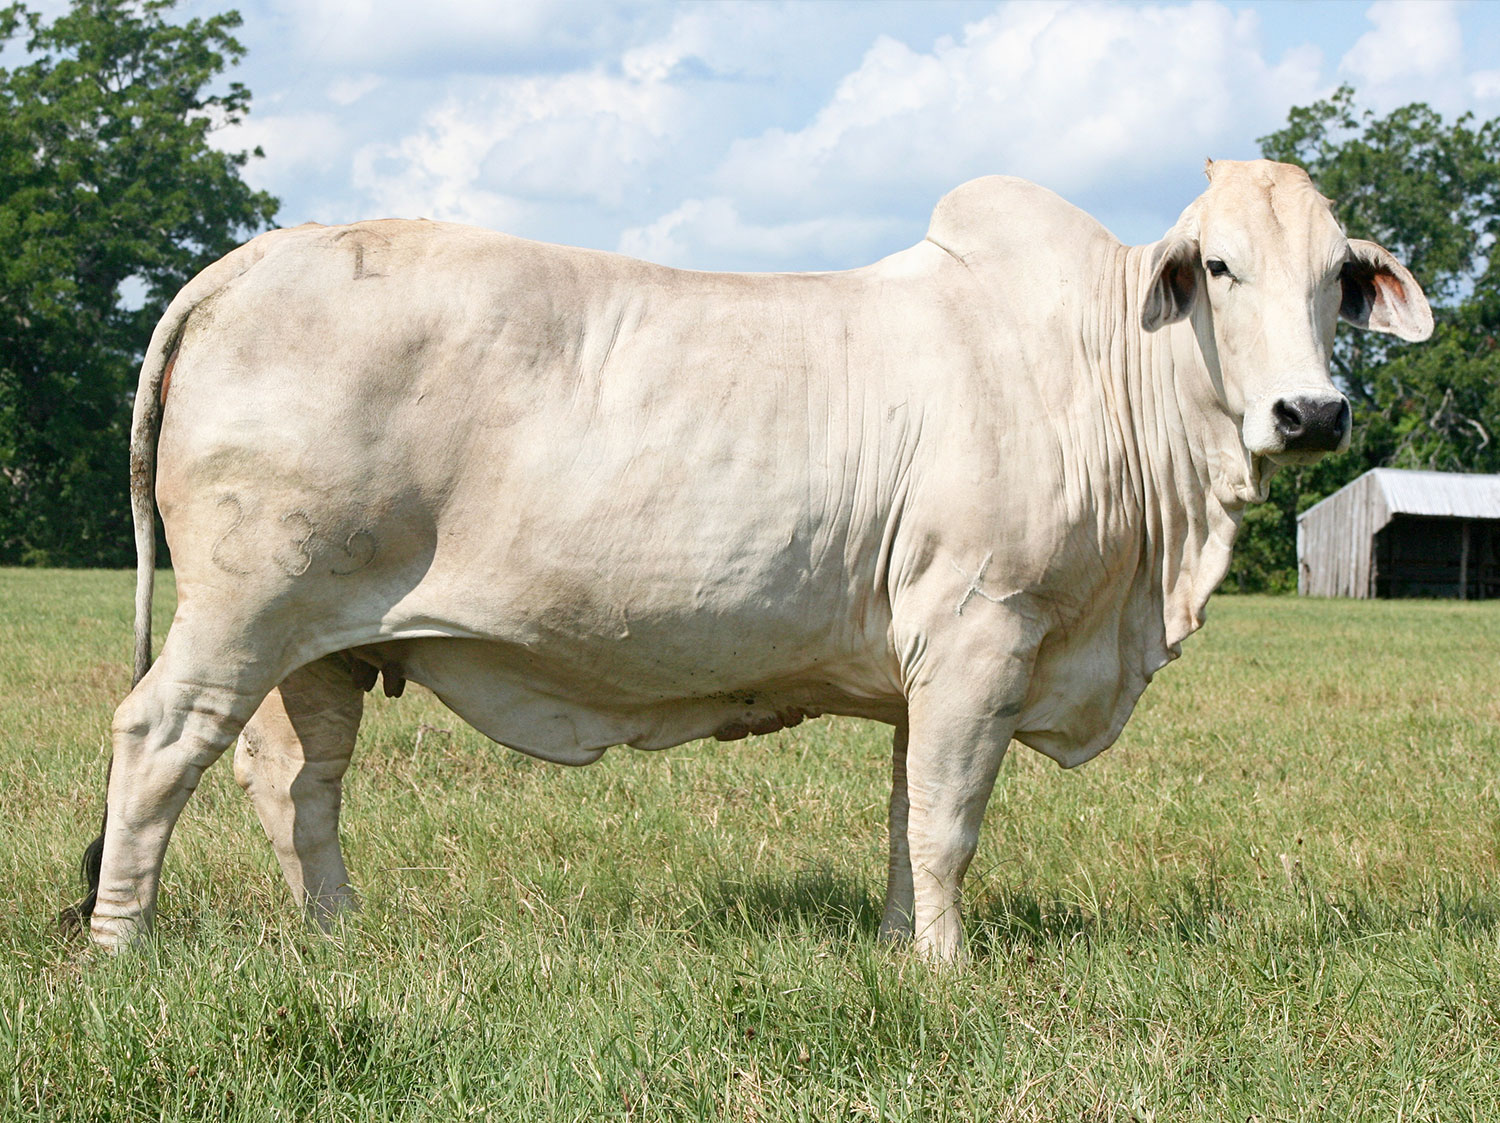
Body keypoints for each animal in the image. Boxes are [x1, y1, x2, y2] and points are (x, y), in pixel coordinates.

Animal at [67, 157, 1428, 959]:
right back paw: (120, 944)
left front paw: (899, 952)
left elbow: (908, 814)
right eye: (1218, 266)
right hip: (244, 609)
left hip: (328, 643)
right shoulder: (984, 630)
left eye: (1337, 280)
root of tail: (260, 254)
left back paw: (341, 937)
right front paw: (949, 967)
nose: (1311, 411)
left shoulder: (928, 668)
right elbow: (951, 821)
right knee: (159, 741)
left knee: (300, 781)